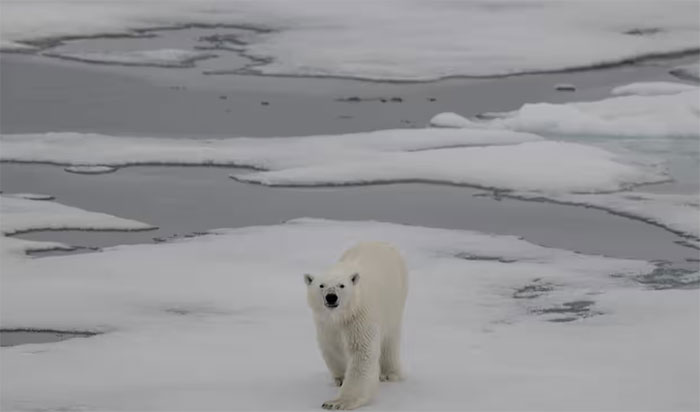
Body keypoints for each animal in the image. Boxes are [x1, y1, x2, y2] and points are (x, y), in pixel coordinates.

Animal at [304, 241, 408, 408]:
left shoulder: (360, 316)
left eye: (341, 285)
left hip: (396, 298)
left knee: (390, 337)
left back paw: (389, 373)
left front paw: (337, 402)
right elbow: (331, 346)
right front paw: (339, 378)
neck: (342, 315)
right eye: (321, 285)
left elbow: (362, 352)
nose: (331, 297)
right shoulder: (326, 324)